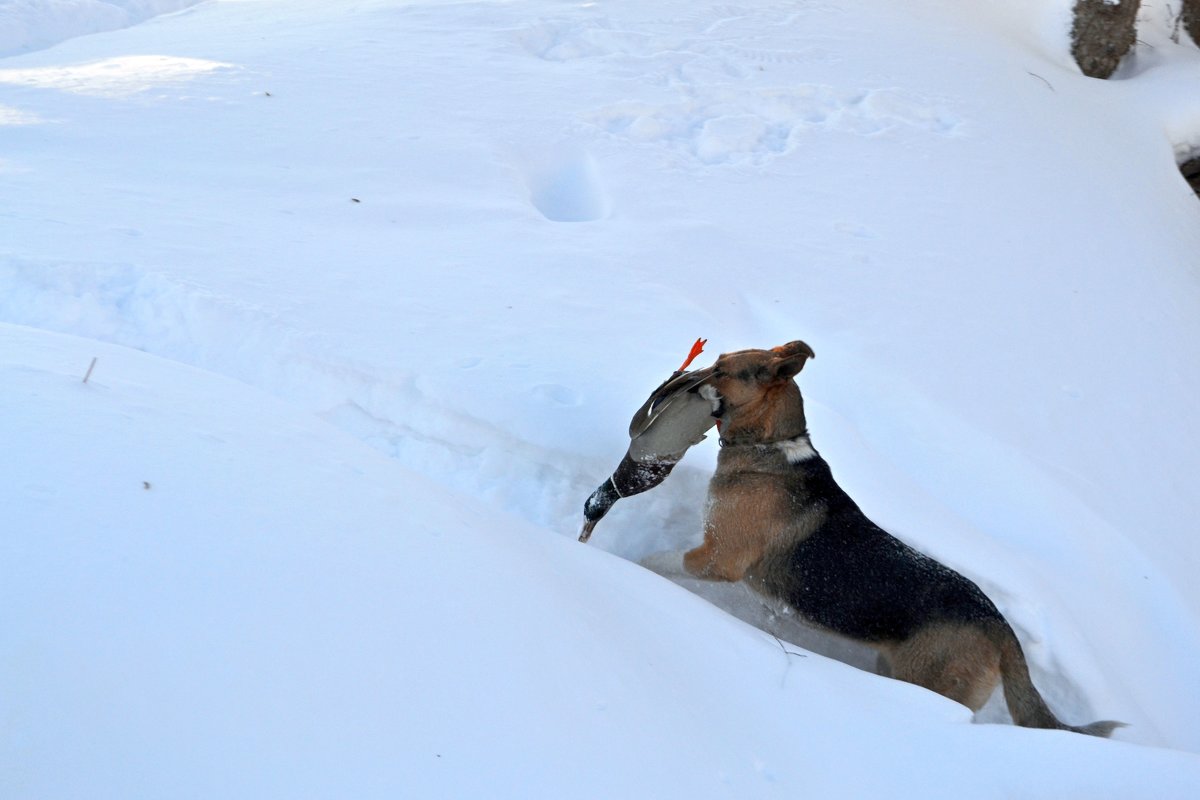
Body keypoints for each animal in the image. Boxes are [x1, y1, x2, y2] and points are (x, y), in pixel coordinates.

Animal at [681, 340, 1118, 734]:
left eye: (721, 370)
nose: (684, 380)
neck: (770, 446)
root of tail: (1001, 627)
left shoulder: (719, 559)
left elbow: (672, 561)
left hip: (929, 680)